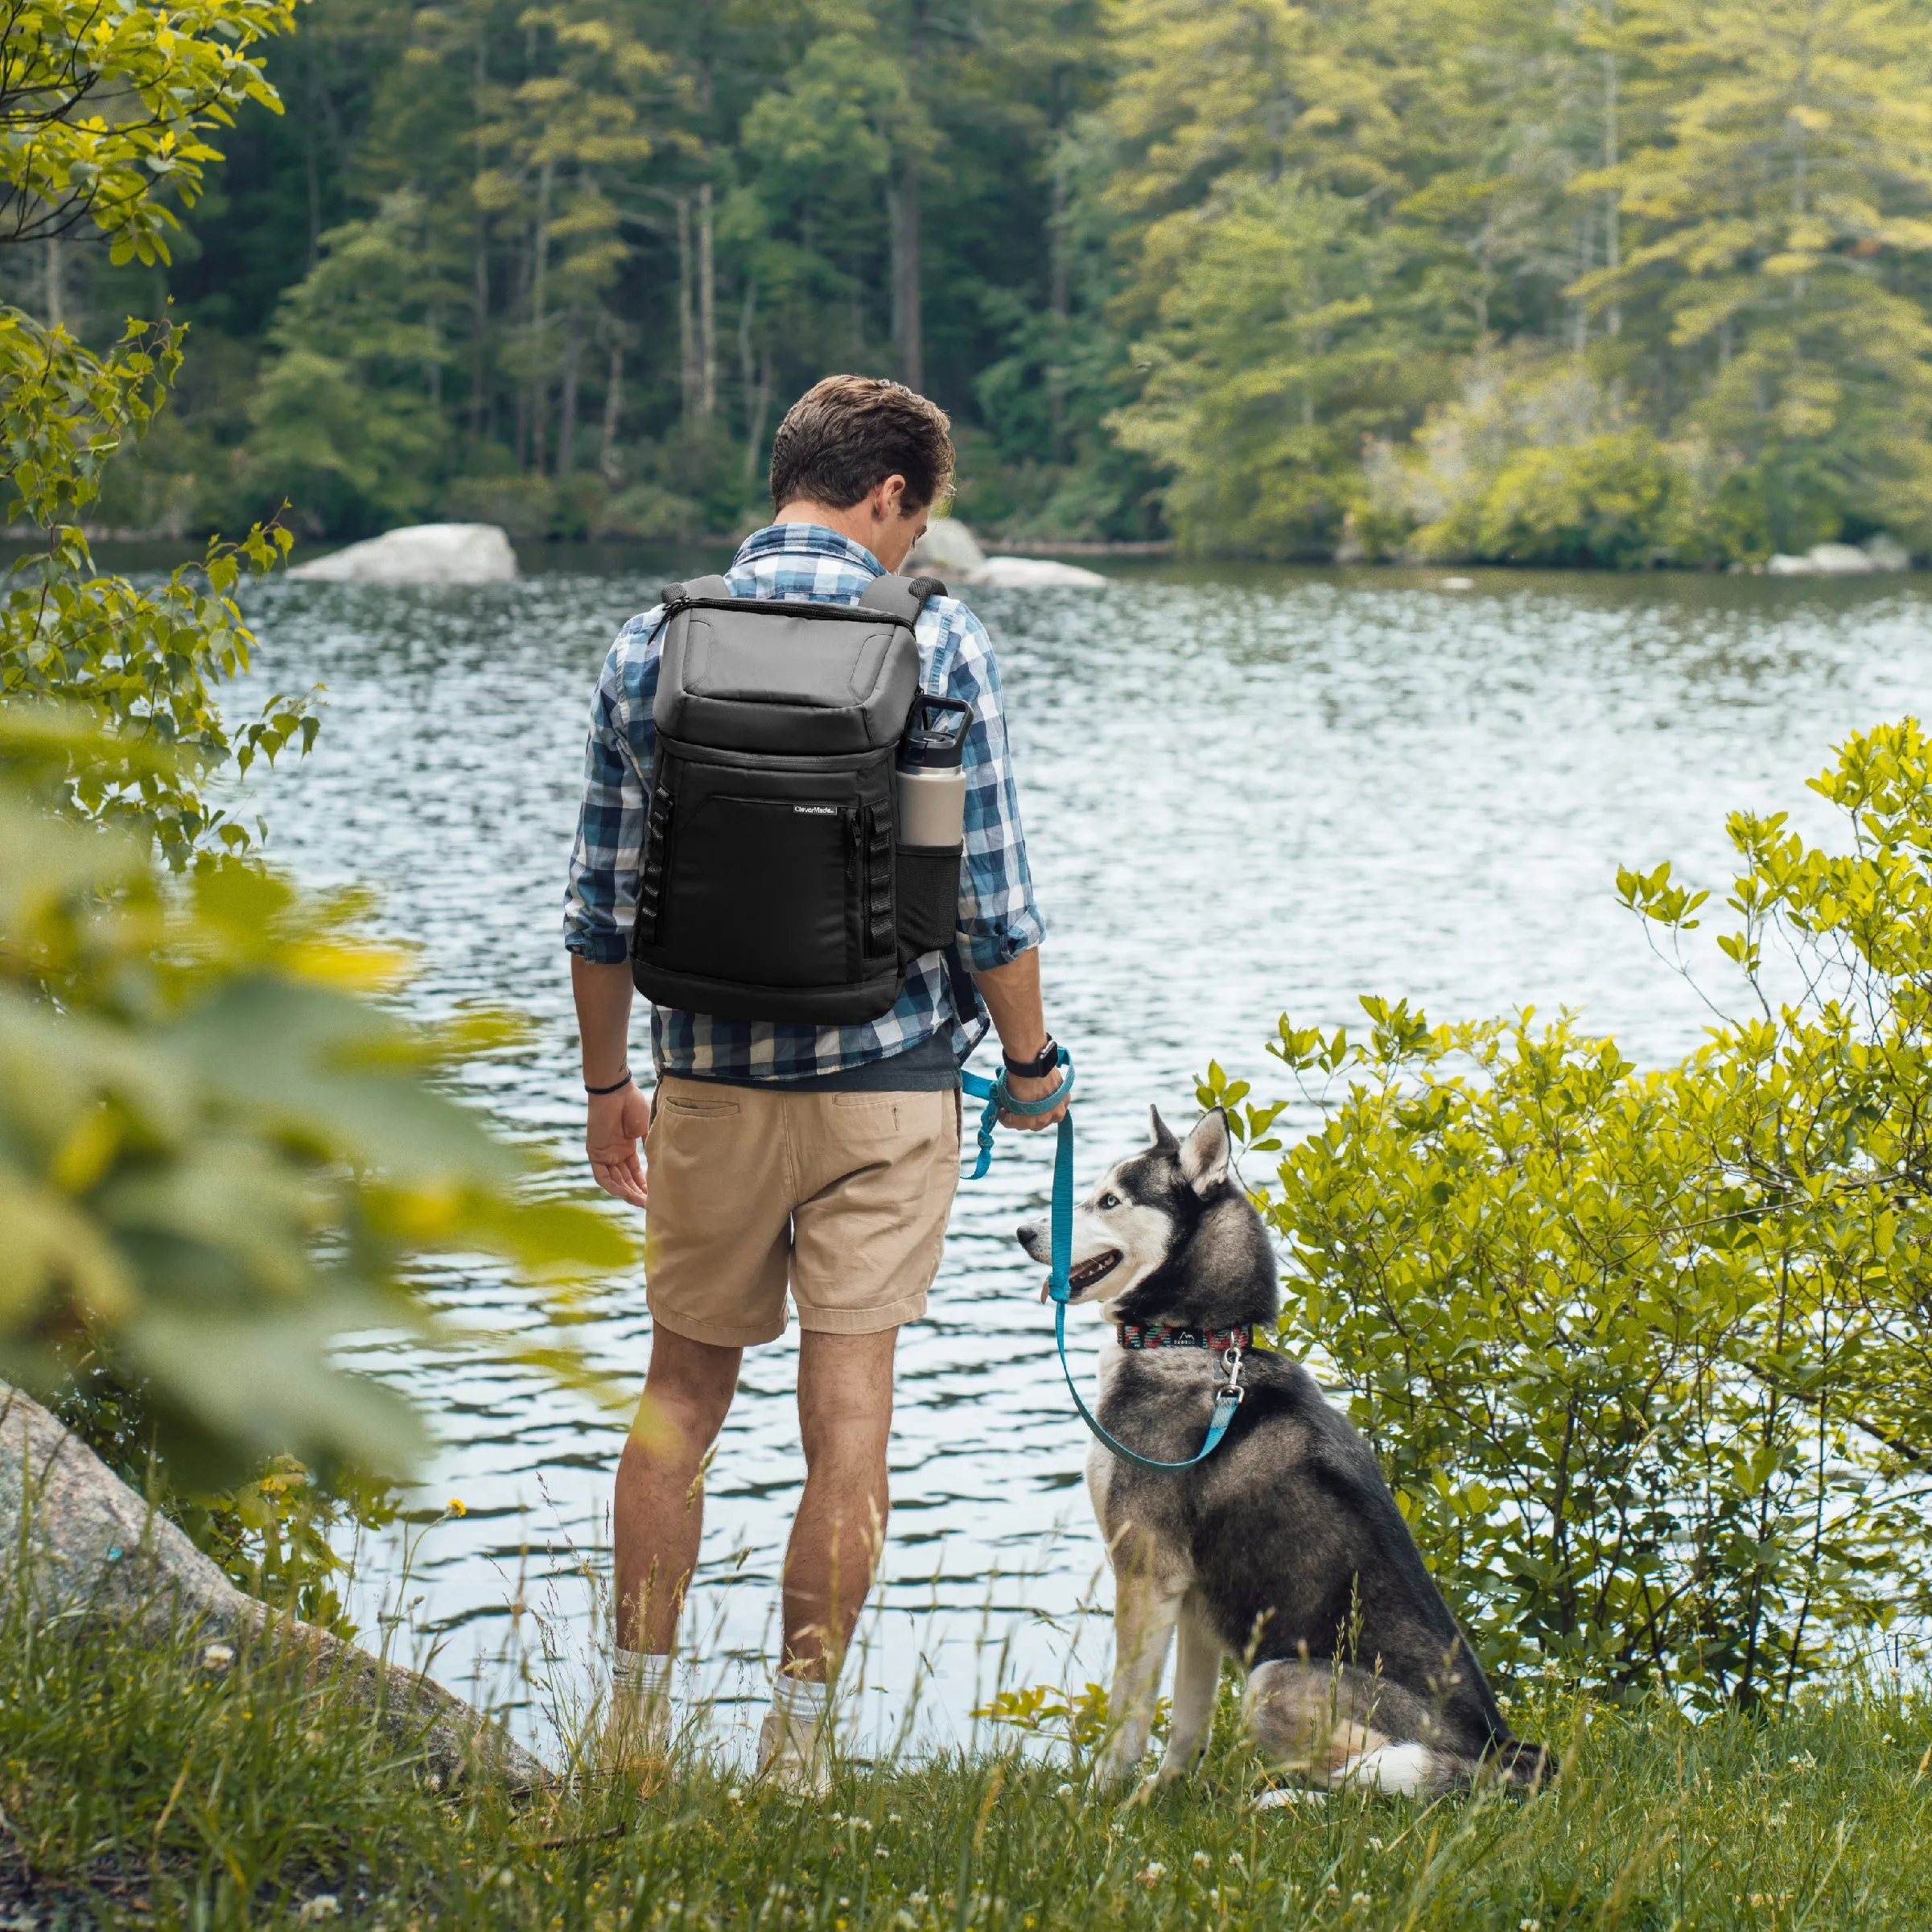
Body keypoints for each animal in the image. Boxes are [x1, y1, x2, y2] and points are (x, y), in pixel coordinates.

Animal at [1020, 1112, 1545, 1800]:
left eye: (1109, 1199)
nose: (1024, 1231)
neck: (1191, 1340)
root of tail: (1497, 1750)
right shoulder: (1196, 1598)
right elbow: (1186, 1722)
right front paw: (1161, 1793)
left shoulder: (1146, 1572)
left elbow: (1126, 1713)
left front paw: (1102, 1797)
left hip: (1271, 1679)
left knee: (1367, 1781)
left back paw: (1282, 1798)